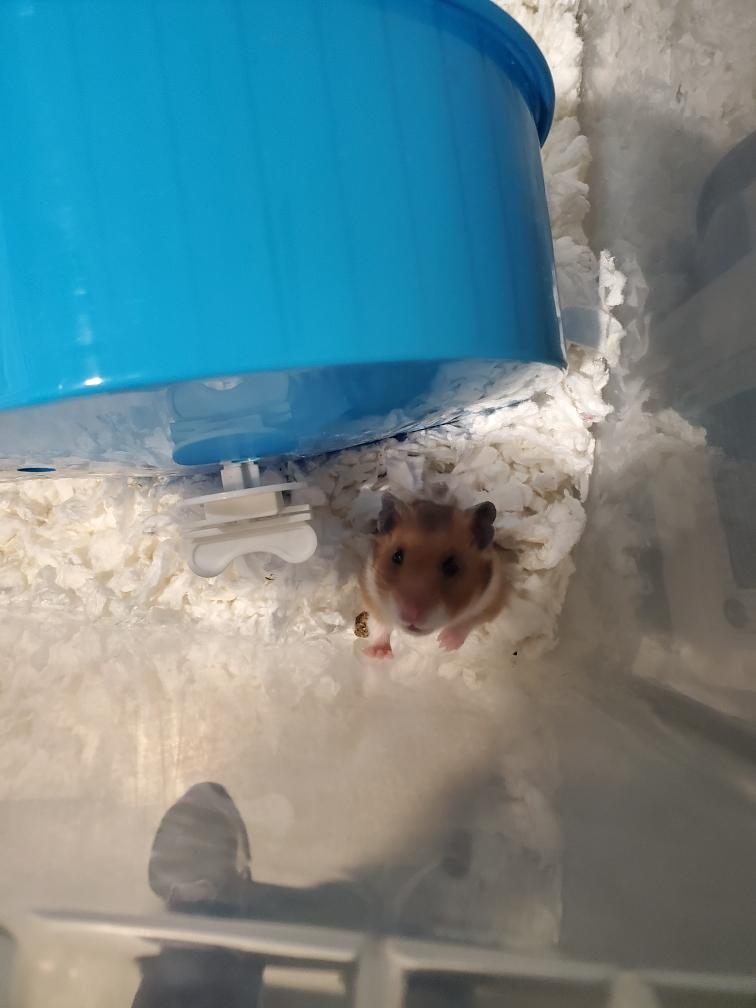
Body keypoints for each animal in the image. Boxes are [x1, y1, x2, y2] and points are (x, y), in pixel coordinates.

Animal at [359, 495, 508, 658]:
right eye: (396, 557)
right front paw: (378, 655)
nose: (410, 615)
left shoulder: (493, 598)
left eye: (452, 566)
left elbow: (469, 620)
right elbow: (380, 624)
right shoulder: (371, 595)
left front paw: (444, 644)